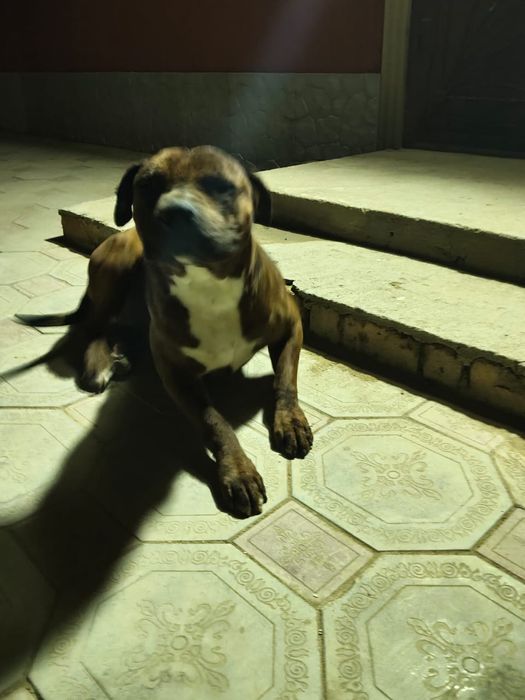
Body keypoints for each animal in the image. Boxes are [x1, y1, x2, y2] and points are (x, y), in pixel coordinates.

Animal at [19, 146, 313, 517]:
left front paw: (290, 422)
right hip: (115, 271)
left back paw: (121, 353)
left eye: (219, 184)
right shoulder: (176, 373)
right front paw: (238, 471)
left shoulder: (291, 328)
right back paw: (100, 363)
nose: (175, 212)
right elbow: (214, 421)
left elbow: (285, 382)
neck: (209, 286)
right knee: (94, 327)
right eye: (148, 185)